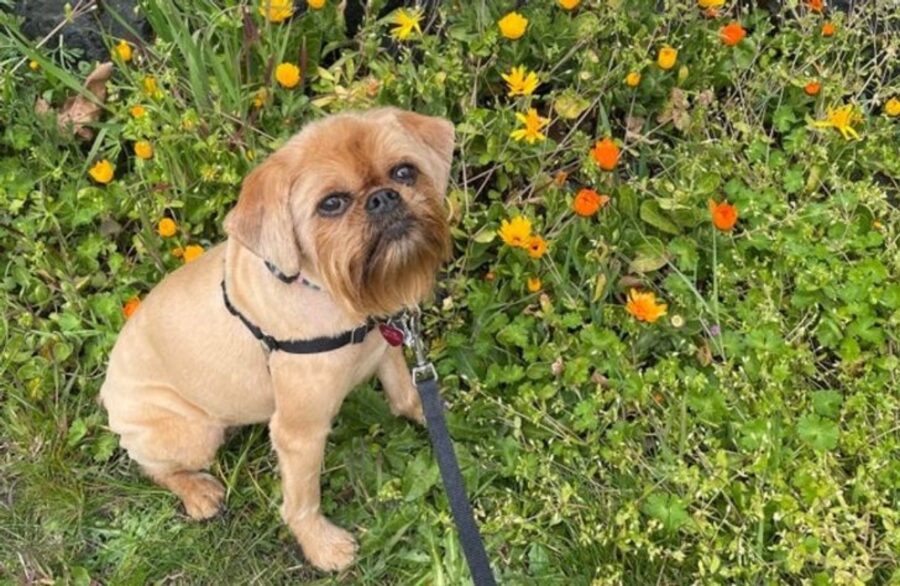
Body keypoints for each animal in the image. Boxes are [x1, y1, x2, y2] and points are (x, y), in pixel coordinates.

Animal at [101, 107, 454, 568]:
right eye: (331, 203)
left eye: (404, 172)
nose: (384, 198)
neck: (330, 294)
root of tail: (106, 393)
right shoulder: (299, 433)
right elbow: (302, 501)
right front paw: (322, 546)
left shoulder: (386, 352)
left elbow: (407, 396)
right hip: (193, 434)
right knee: (156, 468)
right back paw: (198, 493)